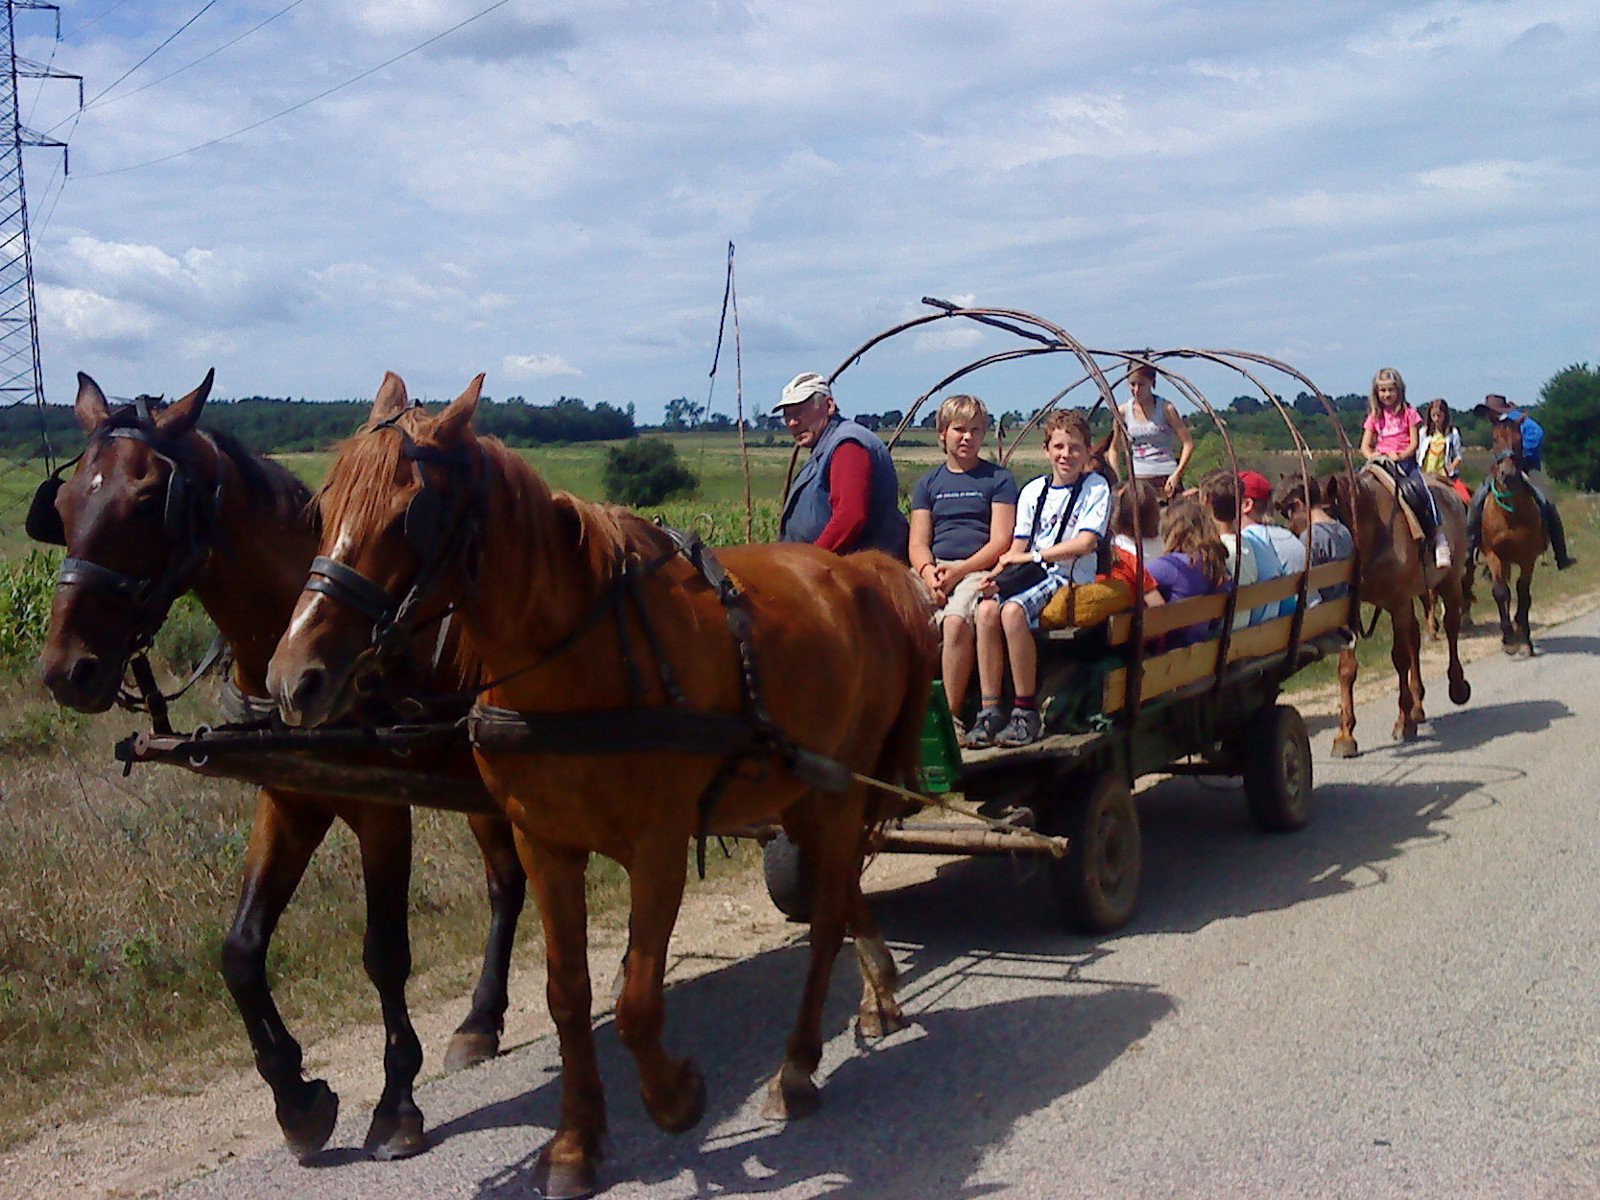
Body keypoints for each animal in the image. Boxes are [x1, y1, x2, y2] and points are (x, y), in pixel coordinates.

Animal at [34, 374, 528, 1164]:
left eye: (145, 501)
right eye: (65, 504)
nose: (64, 671)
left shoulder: (380, 806)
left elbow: (384, 952)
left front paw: (395, 1102)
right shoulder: (289, 794)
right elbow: (240, 950)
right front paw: (297, 1097)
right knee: (508, 885)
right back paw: (481, 1021)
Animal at [265, 377, 934, 1200]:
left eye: (408, 515)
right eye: (321, 512)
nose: (294, 679)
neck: (574, 662)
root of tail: (867, 573)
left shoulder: (659, 847)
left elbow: (638, 1001)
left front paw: (676, 1097)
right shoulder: (545, 842)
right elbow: (569, 996)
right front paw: (574, 1143)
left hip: (833, 793)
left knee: (828, 920)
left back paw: (799, 1067)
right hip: (802, 794)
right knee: (837, 895)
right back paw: (870, 1002)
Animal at [1318, 464, 1465, 755]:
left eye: (1328, 522)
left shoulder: (1397, 602)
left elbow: (1399, 658)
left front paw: (1403, 723)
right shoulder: (1353, 611)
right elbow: (1346, 669)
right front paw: (1345, 736)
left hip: (1450, 580)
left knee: (1452, 626)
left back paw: (1456, 687)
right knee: (1415, 639)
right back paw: (1418, 707)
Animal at [1472, 416, 1548, 659]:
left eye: (1519, 438)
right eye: (1495, 438)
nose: (1508, 473)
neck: (1510, 513)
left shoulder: (1527, 558)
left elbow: (1523, 593)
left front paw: (1524, 639)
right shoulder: (1493, 555)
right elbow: (1500, 592)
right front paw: (1508, 639)